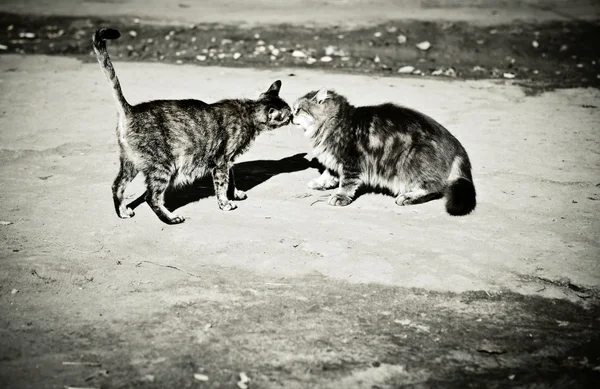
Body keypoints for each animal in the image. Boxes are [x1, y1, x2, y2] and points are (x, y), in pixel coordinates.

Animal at [92, 28, 292, 224]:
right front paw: (225, 204)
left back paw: (123, 212)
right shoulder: (221, 161)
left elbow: (232, 180)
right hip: (163, 166)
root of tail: (130, 109)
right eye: (288, 115)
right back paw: (171, 218)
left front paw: (234, 194)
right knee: (151, 197)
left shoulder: (228, 161)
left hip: (131, 162)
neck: (248, 112)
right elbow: (222, 184)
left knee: (117, 186)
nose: (294, 118)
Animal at [292, 88, 476, 215]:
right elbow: (328, 173)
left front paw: (340, 196)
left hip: (412, 161)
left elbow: (346, 183)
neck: (337, 123)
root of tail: (456, 145)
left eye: (298, 110)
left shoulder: (351, 161)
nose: (291, 116)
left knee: (435, 188)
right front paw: (320, 182)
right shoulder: (334, 159)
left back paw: (407, 197)